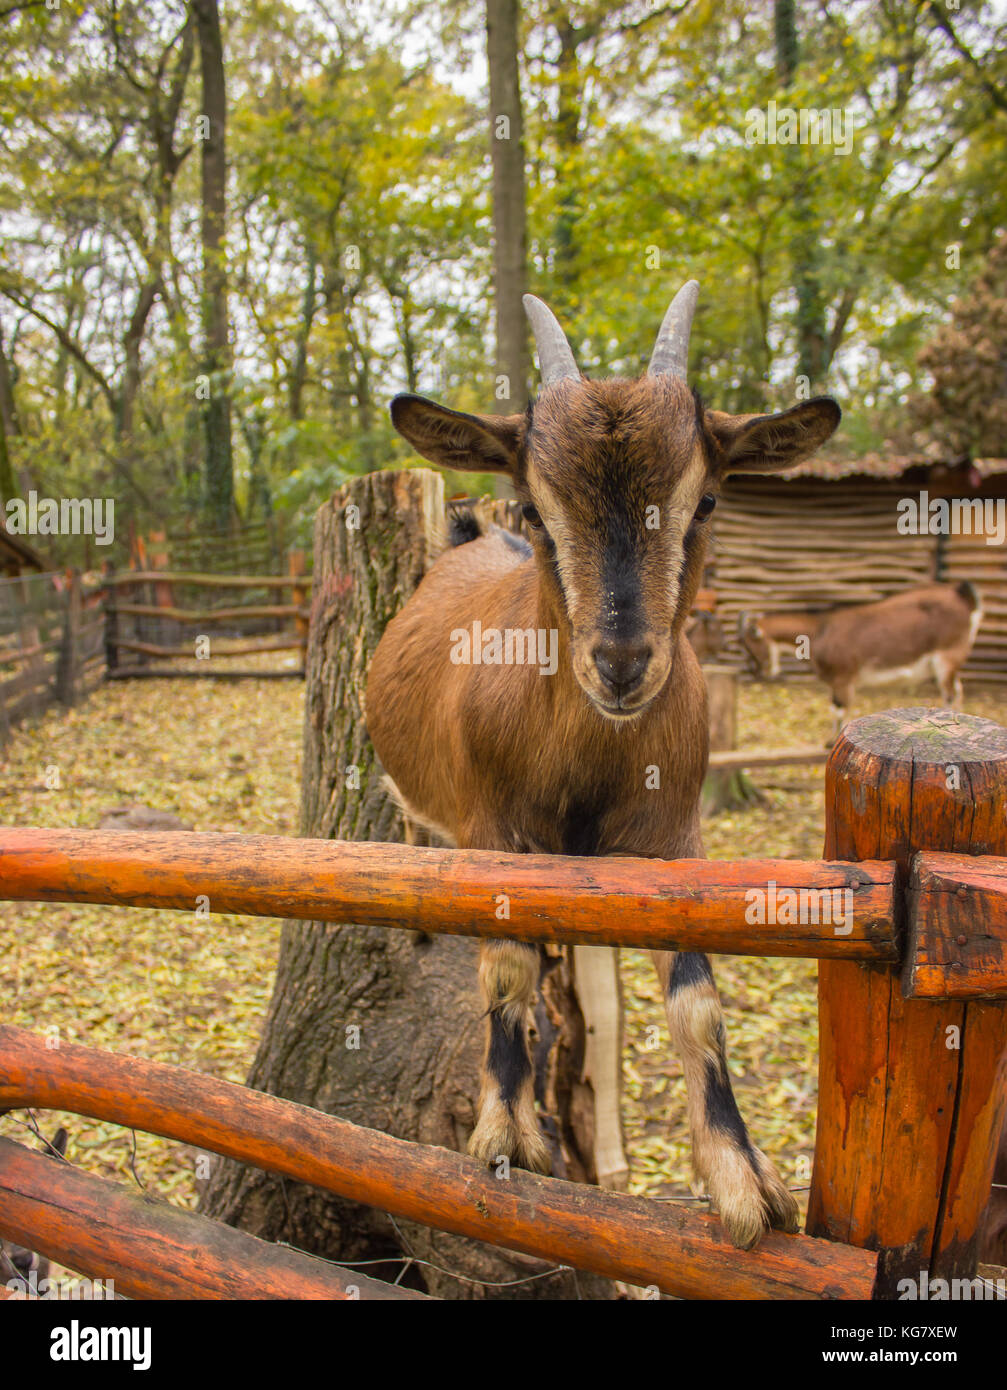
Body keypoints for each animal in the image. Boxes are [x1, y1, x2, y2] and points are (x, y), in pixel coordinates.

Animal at [364, 282, 840, 1251]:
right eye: (537, 509)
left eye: (704, 503)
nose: (620, 663)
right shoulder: (494, 833)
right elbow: (504, 969)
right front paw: (506, 1132)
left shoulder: (672, 842)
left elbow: (694, 1001)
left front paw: (741, 1178)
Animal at [734, 581, 979, 733]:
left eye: (752, 644)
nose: (760, 673)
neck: (819, 631)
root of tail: (963, 597)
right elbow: (835, 709)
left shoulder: (843, 678)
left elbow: (840, 710)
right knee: (957, 691)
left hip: (946, 656)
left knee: (950, 694)